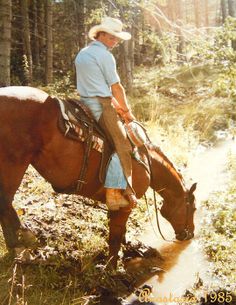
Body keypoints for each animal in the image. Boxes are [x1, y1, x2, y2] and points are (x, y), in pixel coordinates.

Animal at [0, 85, 196, 266]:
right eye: (193, 208)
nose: (190, 234)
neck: (146, 161)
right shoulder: (126, 206)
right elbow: (115, 235)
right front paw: (112, 267)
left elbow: (120, 232)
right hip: (13, 164)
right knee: (5, 204)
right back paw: (21, 245)